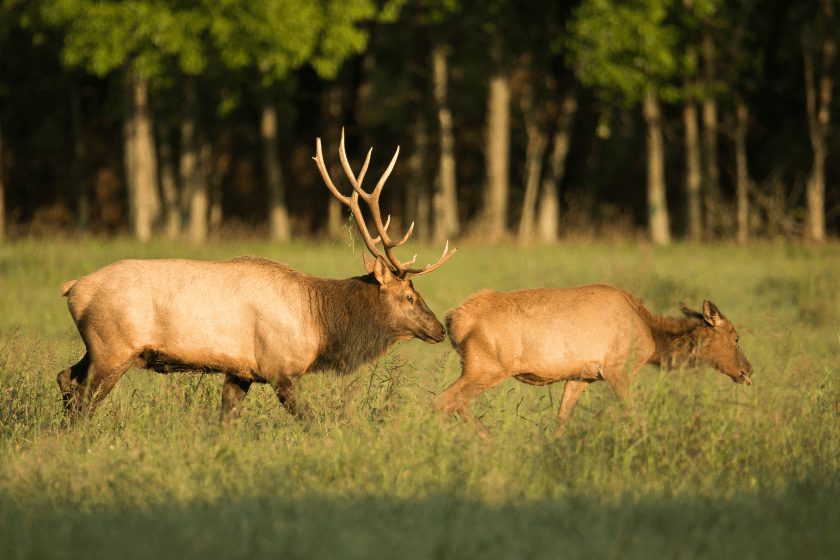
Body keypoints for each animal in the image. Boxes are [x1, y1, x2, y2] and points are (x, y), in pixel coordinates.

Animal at [56, 130, 456, 421]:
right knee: (84, 399)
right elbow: (310, 421)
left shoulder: (241, 372)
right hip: (113, 348)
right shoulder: (281, 368)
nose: (440, 329)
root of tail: (72, 289)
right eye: (409, 296)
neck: (321, 325)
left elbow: (226, 422)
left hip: (99, 348)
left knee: (66, 378)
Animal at [438, 284, 752, 436]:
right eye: (736, 337)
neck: (652, 338)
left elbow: (562, 418)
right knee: (443, 400)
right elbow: (634, 416)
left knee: (453, 401)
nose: (748, 370)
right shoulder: (618, 370)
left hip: (476, 367)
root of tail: (453, 320)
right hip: (487, 367)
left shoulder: (582, 376)